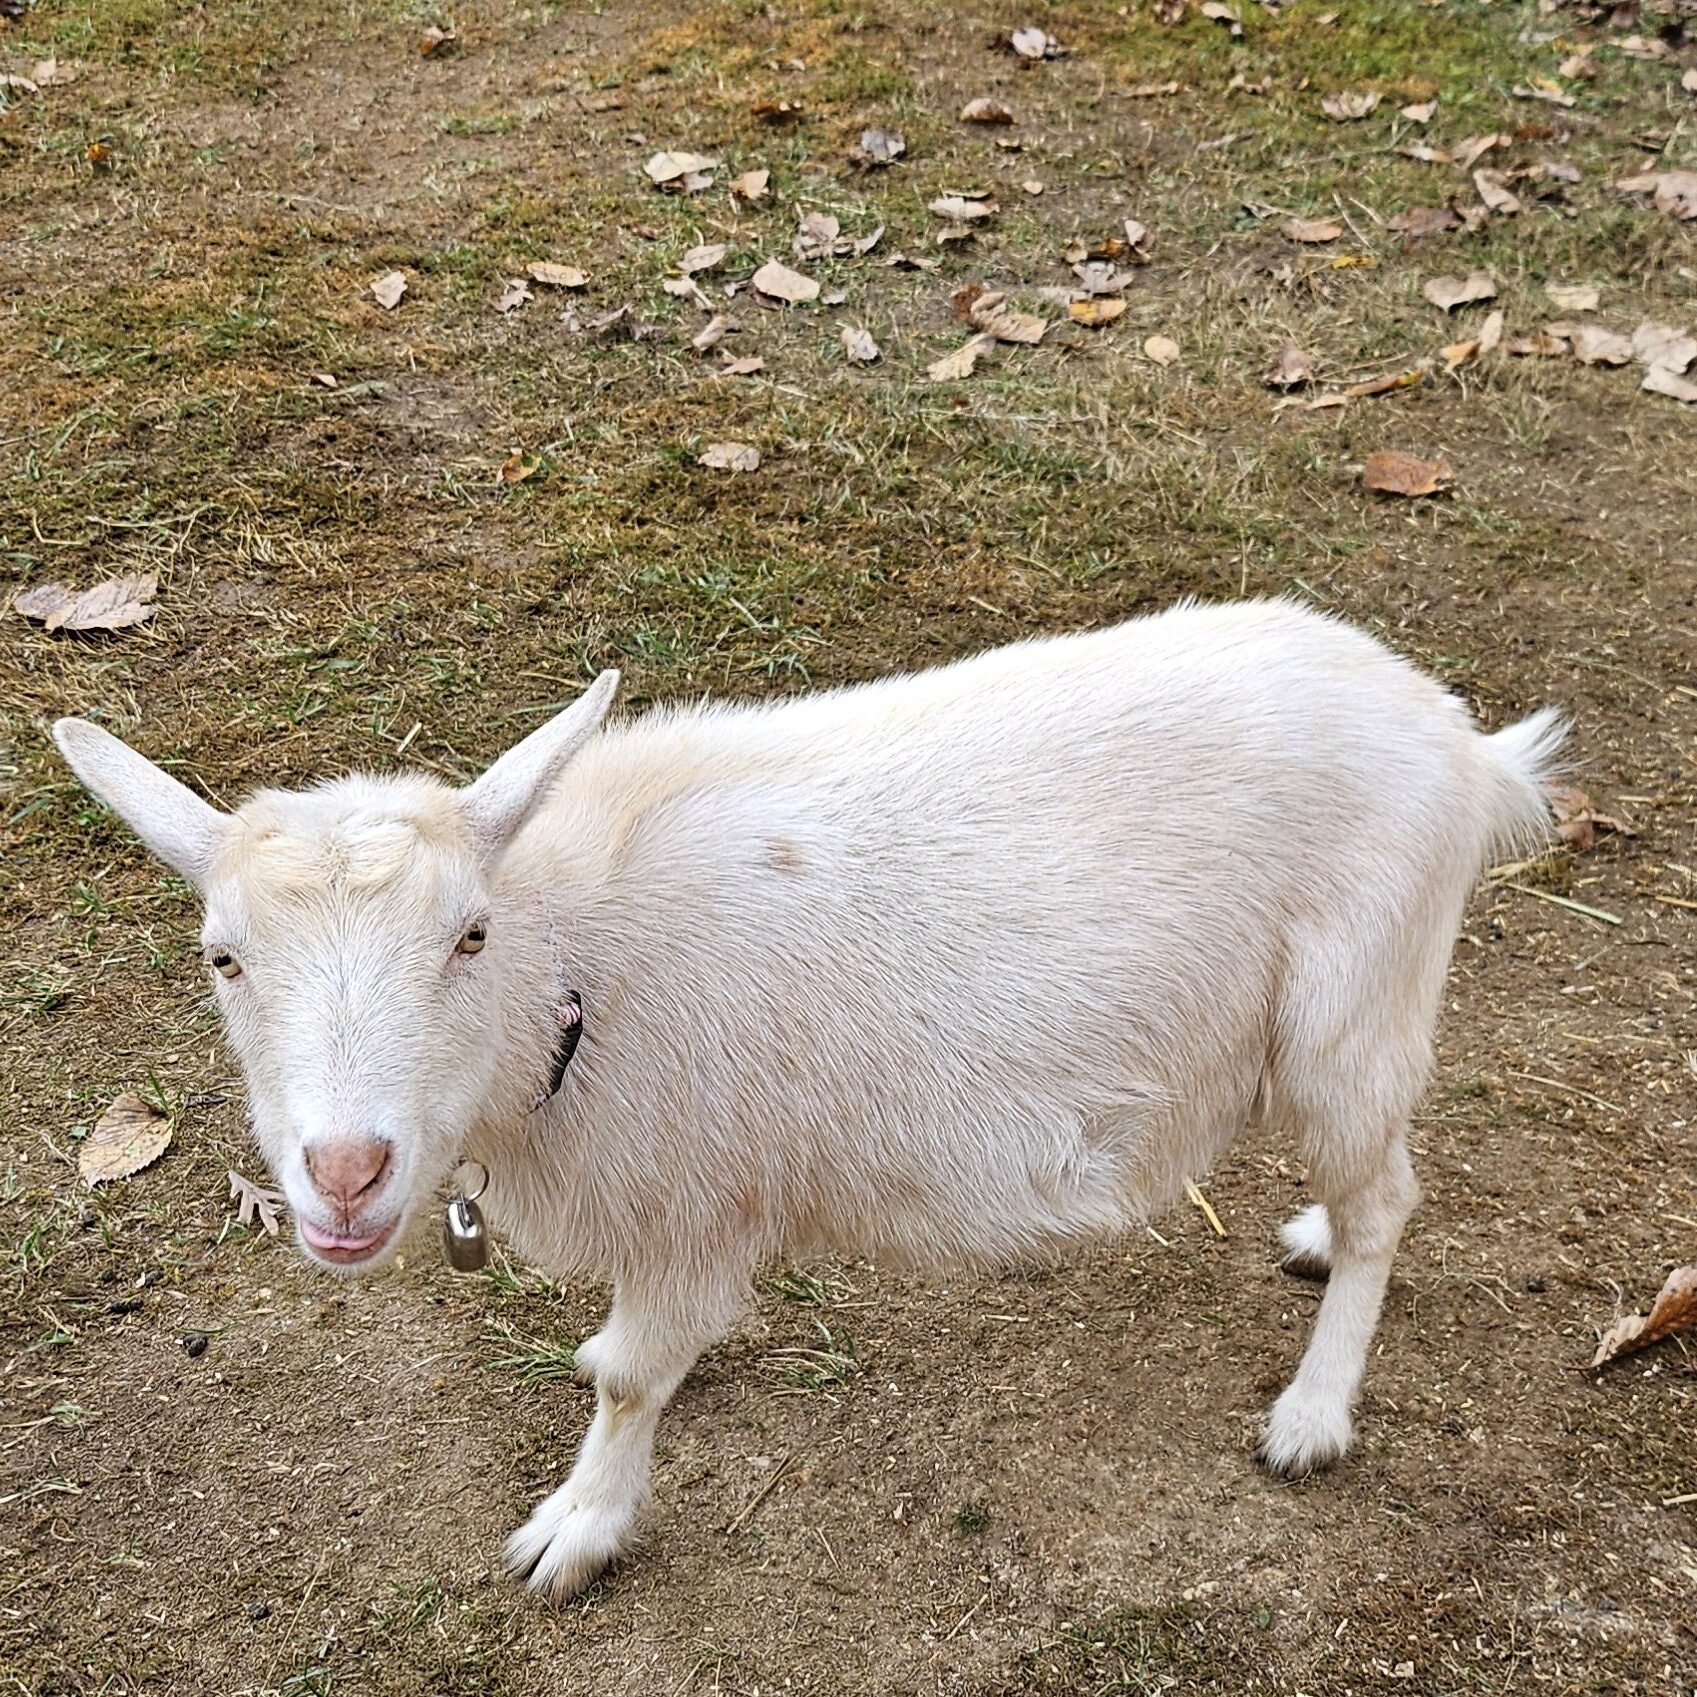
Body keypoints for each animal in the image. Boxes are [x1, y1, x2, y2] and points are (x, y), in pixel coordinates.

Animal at [53, 598, 1565, 1600]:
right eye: (222, 956)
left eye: (468, 934)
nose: (346, 1170)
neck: (577, 968)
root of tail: (1465, 745)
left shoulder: (689, 1204)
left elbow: (629, 1375)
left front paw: (578, 1527)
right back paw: (1306, 1237)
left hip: (1353, 1002)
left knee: (1387, 1199)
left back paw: (1313, 1407)